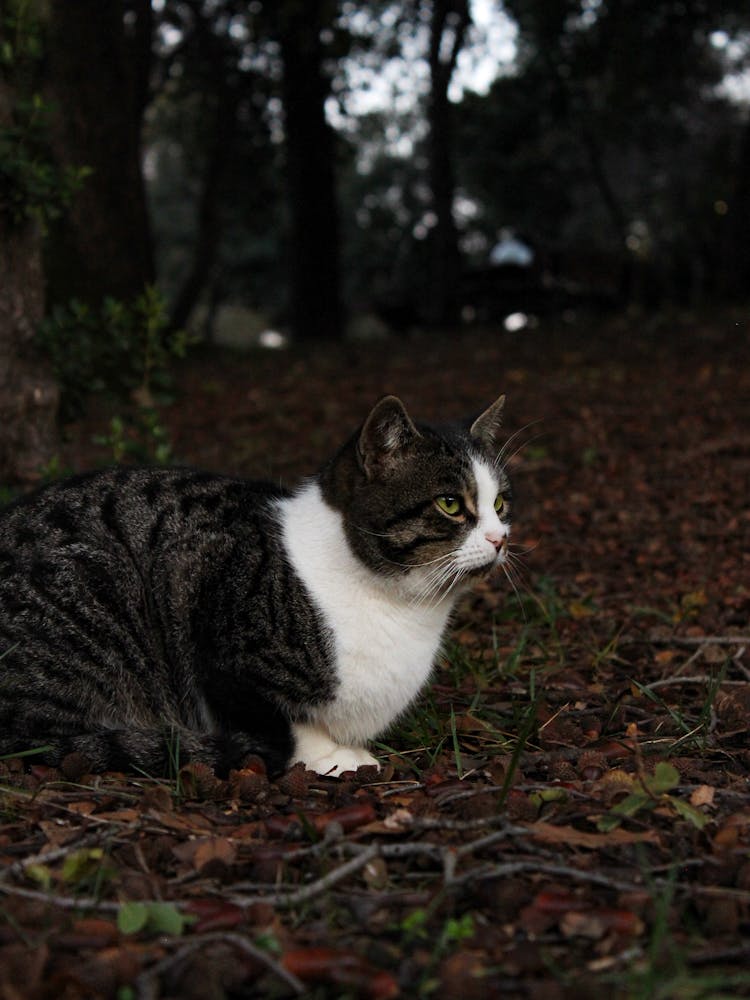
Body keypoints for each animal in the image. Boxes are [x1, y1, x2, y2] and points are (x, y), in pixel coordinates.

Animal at [0, 394, 512, 776]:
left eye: (501, 503)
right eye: (450, 504)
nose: (500, 537)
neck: (400, 607)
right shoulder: (200, 588)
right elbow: (280, 724)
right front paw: (329, 755)